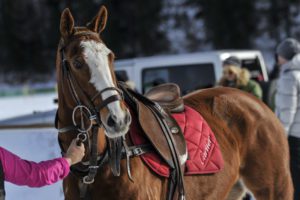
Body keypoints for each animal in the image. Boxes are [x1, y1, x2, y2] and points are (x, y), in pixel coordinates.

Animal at [55, 5, 292, 199]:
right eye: (77, 62)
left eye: (110, 57)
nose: (119, 119)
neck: (94, 167)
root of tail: (256, 102)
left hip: (275, 189)